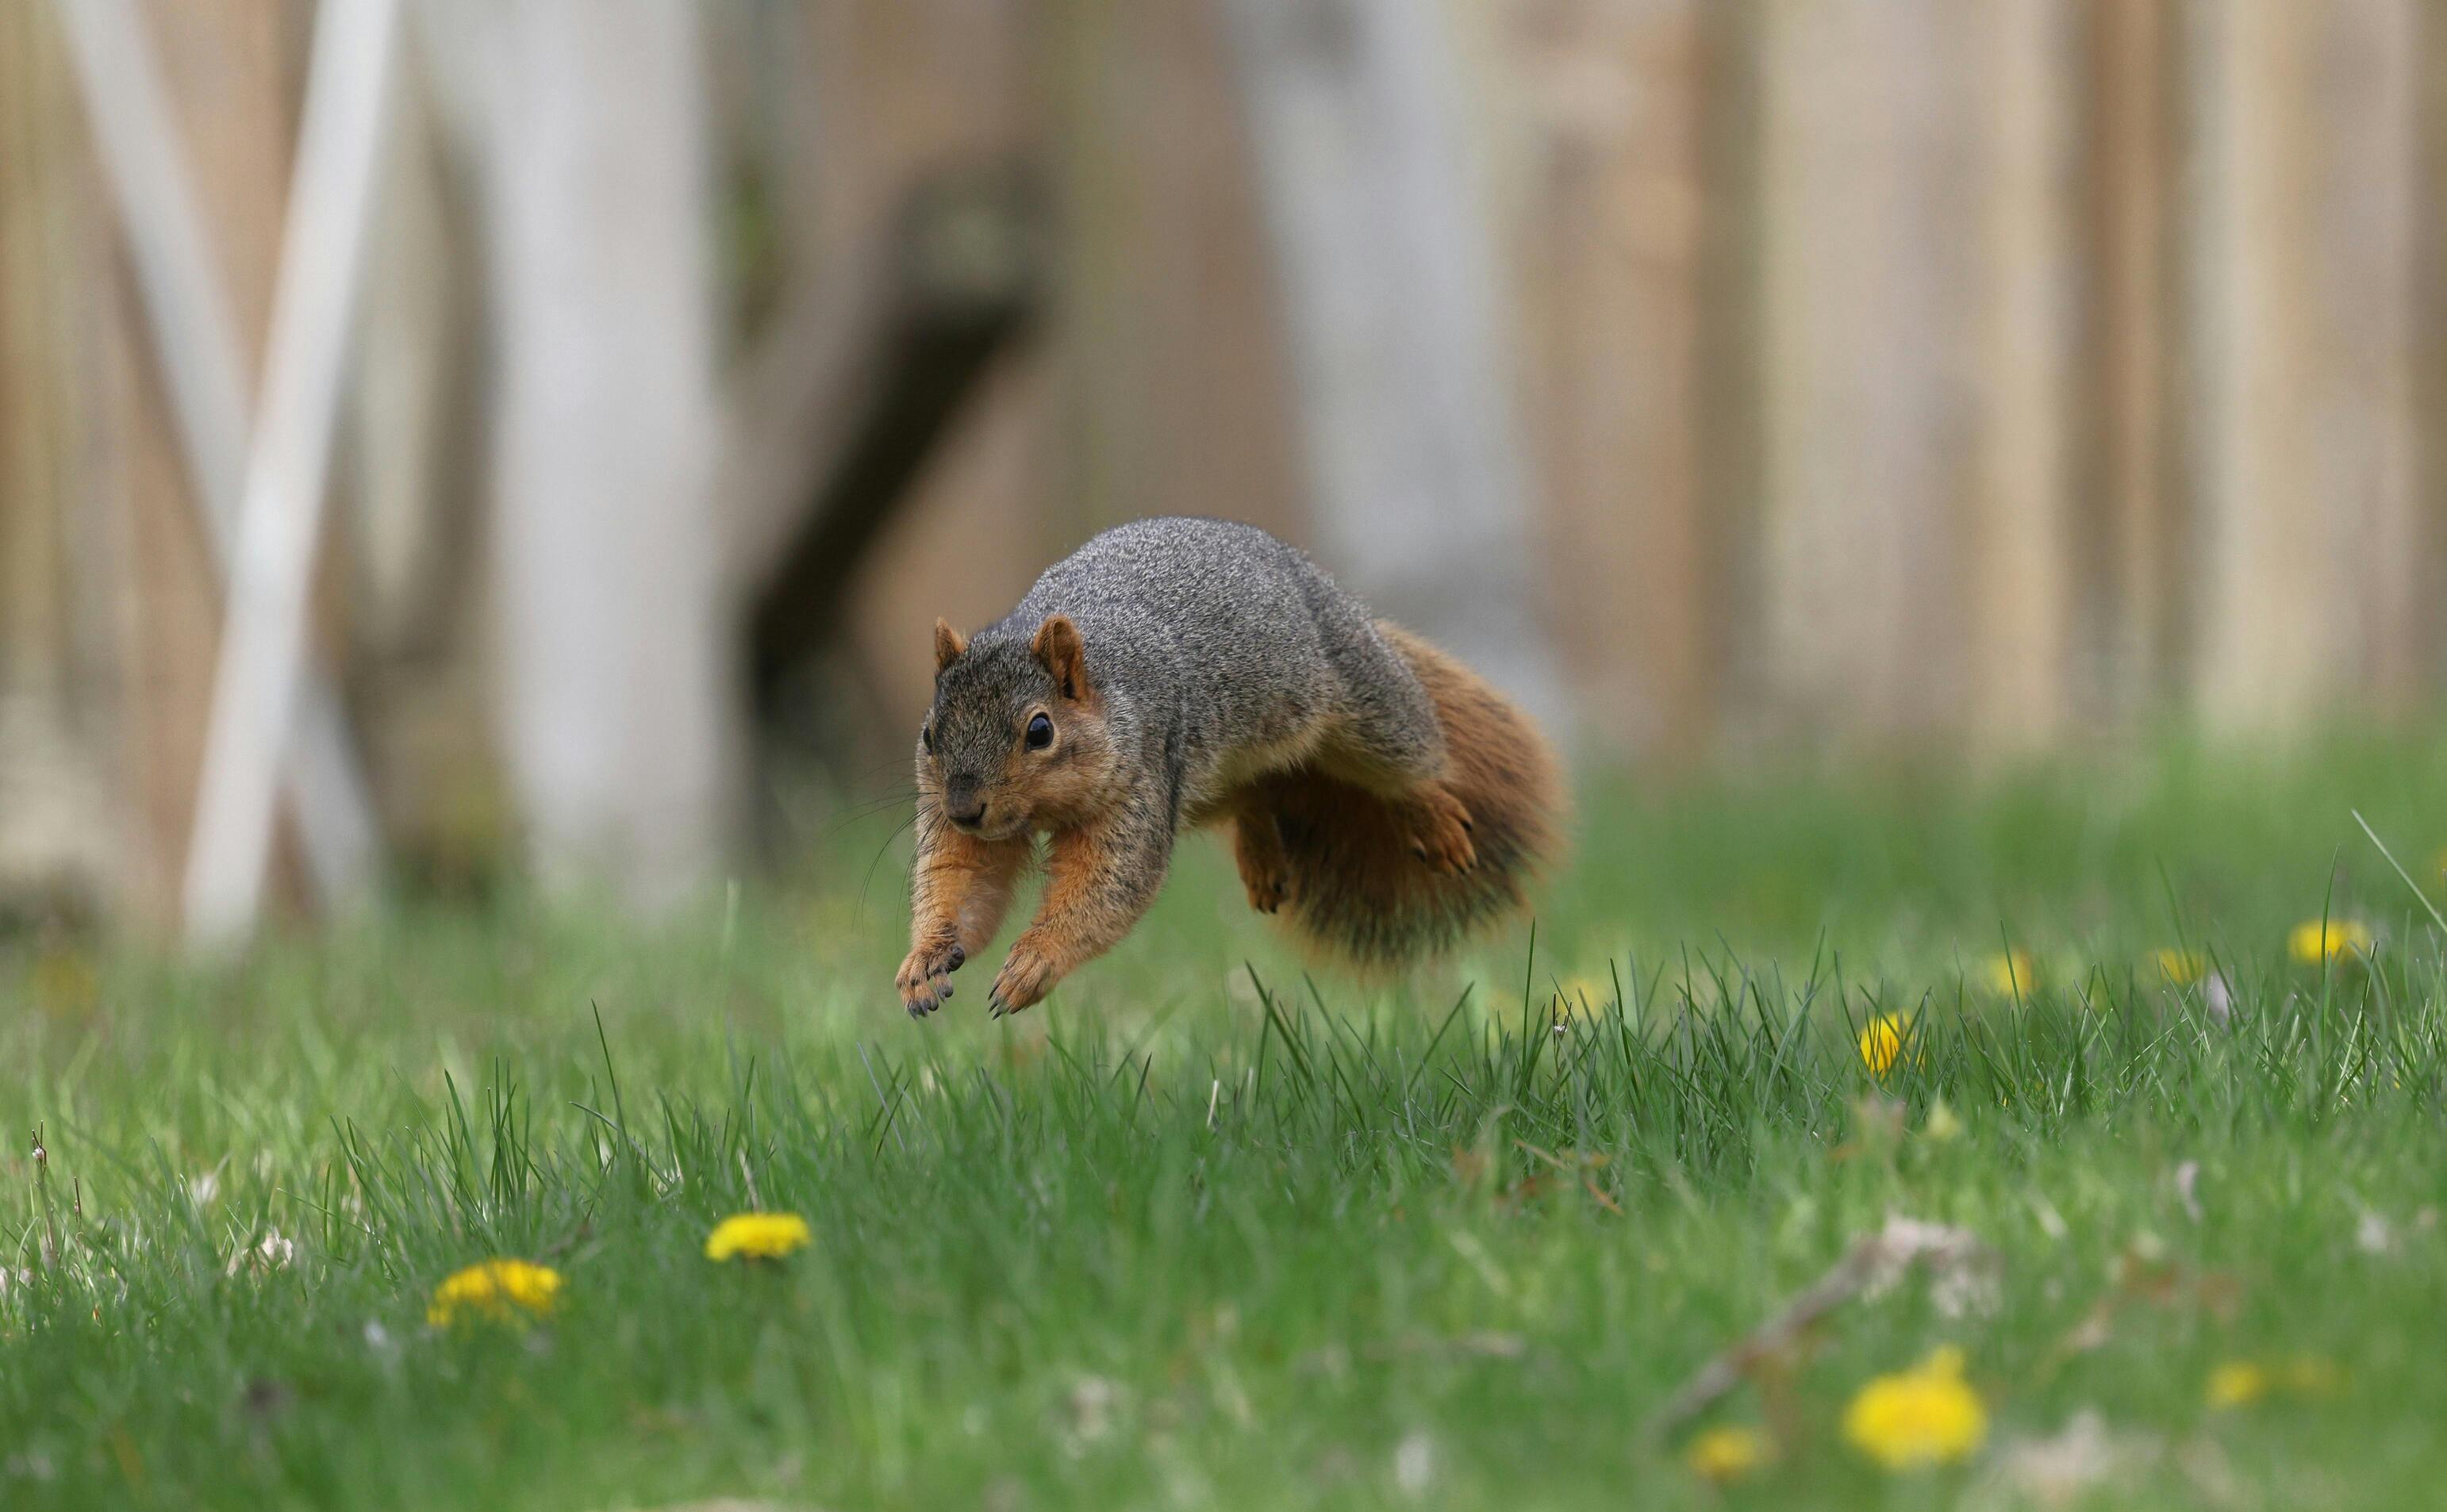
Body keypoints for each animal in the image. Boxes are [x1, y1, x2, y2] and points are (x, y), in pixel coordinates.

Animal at [896, 517, 1564, 1019]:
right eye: (929, 732)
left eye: (1040, 731)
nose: (964, 807)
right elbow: (961, 878)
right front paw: (925, 959)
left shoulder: (1140, 782)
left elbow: (1108, 884)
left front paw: (1035, 961)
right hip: (1202, 784)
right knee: (1257, 795)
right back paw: (1263, 855)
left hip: (1363, 703)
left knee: (1410, 758)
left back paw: (1434, 816)